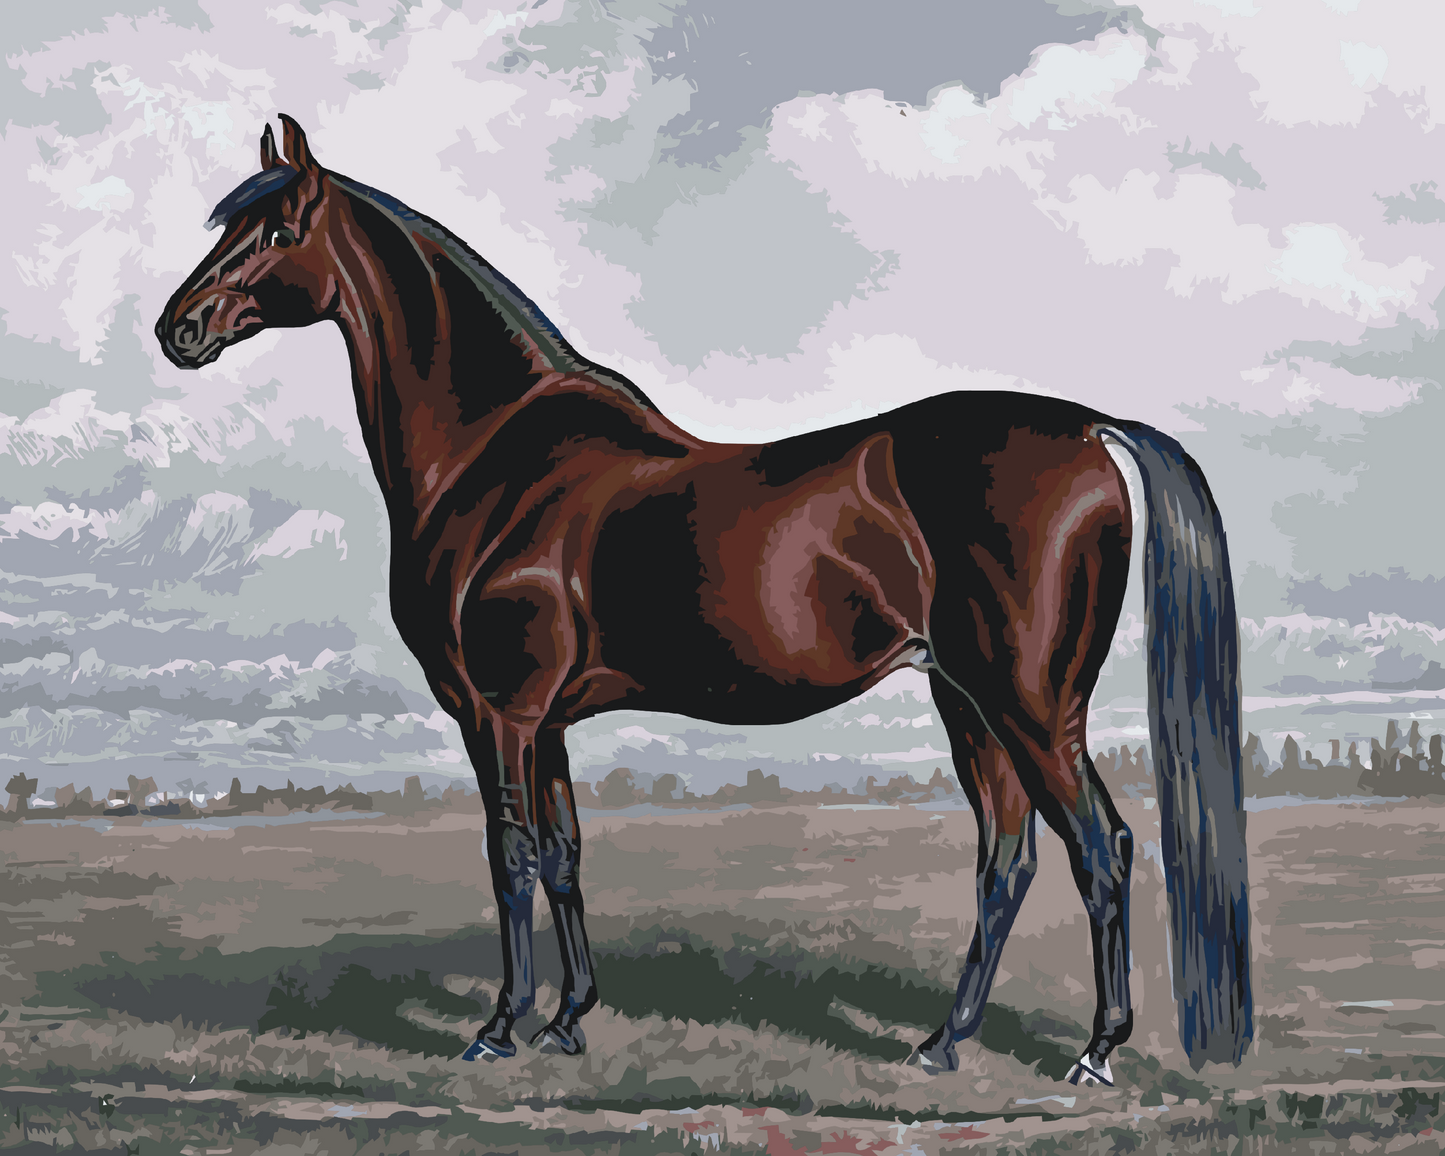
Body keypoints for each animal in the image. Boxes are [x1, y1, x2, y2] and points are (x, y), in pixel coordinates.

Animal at [157, 116, 1252, 1084]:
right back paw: (941, 1043)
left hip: (1029, 703)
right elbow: (564, 855)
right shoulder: (548, 720)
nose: (178, 329)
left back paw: (1094, 1052)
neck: (494, 453)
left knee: (1099, 849)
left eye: (278, 229)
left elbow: (510, 855)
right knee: (1006, 858)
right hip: (969, 701)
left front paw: (499, 1029)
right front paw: (568, 1020)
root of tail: (1089, 429)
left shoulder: (497, 713)